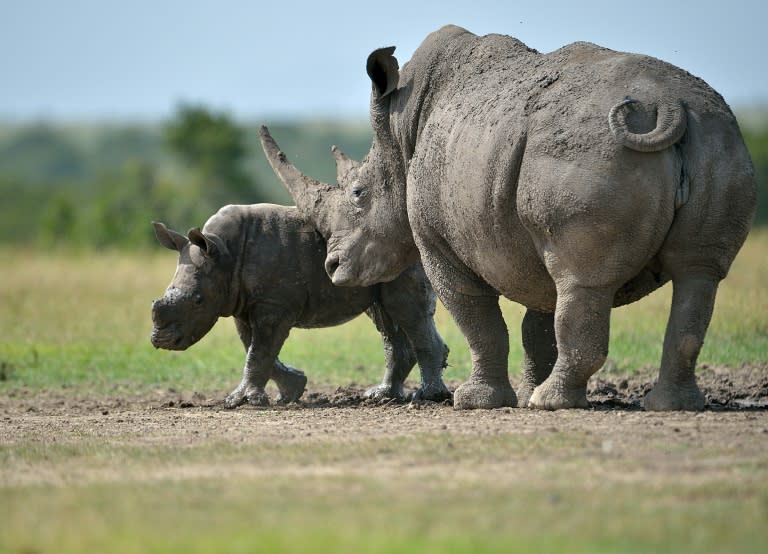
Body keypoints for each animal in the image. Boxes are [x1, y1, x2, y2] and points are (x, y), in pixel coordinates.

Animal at [150, 203, 450, 406]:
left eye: (198, 301)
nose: (161, 341)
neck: (223, 253)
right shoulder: (242, 303)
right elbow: (253, 347)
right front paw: (291, 390)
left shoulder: (274, 305)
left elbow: (259, 350)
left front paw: (242, 401)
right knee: (386, 317)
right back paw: (382, 396)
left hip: (404, 255)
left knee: (406, 310)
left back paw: (427, 397)